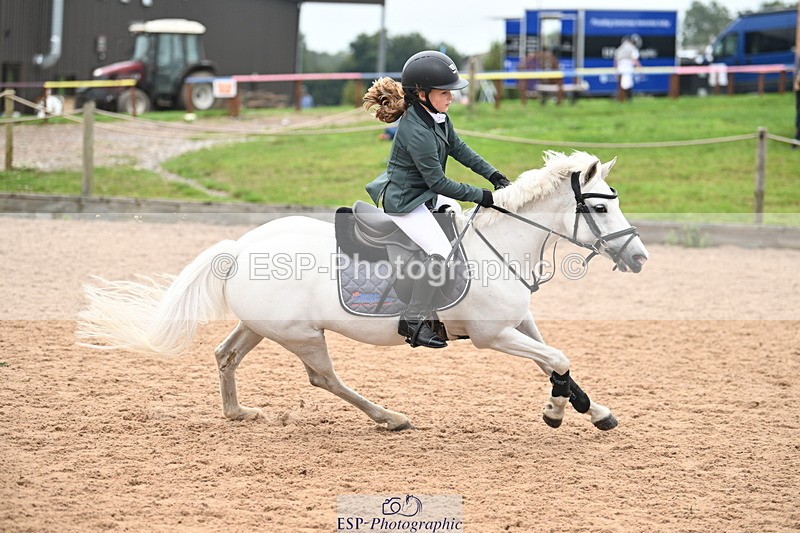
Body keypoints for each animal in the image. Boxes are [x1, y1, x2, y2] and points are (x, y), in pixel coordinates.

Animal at [78, 150, 649, 432]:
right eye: (600, 207)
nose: (640, 258)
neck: (500, 246)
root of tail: (239, 248)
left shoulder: (518, 324)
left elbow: (556, 362)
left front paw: (588, 410)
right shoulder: (494, 335)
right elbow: (556, 358)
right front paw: (560, 413)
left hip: (260, 326)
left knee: (226, 355)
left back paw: (238, 413)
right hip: (303, 334)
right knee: (323, 379)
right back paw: (388, 418)